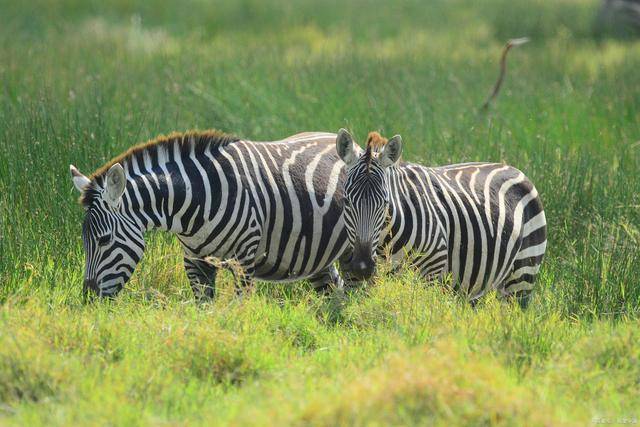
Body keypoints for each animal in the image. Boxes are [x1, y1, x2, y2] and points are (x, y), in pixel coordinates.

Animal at [68, 129, 352, 300]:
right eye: (83, 242)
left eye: (104, 240)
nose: (88, 299)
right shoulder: (194, 262)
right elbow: (204, 311)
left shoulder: (244, 260)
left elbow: (240, 310)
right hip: (319, 253)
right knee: (334, 290)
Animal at [332, 129, 548, 306]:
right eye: (346, 201)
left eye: (385, 204)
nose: (362, 267)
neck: (386, 242)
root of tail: (514, 168)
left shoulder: (432, 270)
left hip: (523, 271)